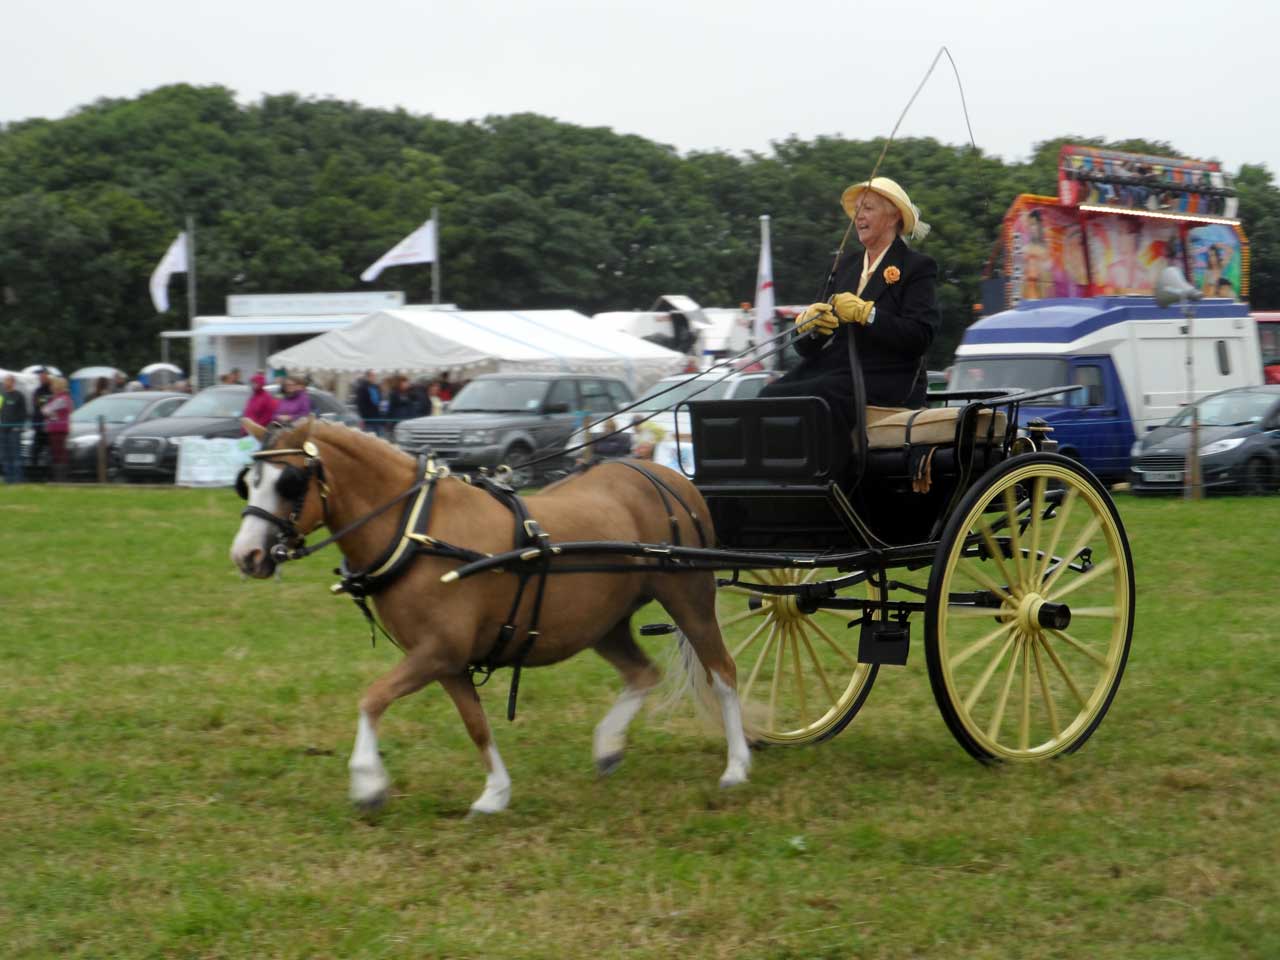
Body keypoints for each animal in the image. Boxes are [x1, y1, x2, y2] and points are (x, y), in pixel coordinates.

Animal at [230, 417, 747, 814]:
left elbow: (372, 699)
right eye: (248, 482)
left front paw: (367, 782)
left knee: (723, 673)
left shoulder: (438, 651)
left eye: (289, 483)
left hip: (690, 598)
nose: (246, 556)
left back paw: (737, 766)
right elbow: (475, 724)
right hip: (603, 622)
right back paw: (608, 745)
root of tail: (669, 476)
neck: (417, 532)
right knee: (643, 673)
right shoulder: (449, 663)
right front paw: (495, 793)